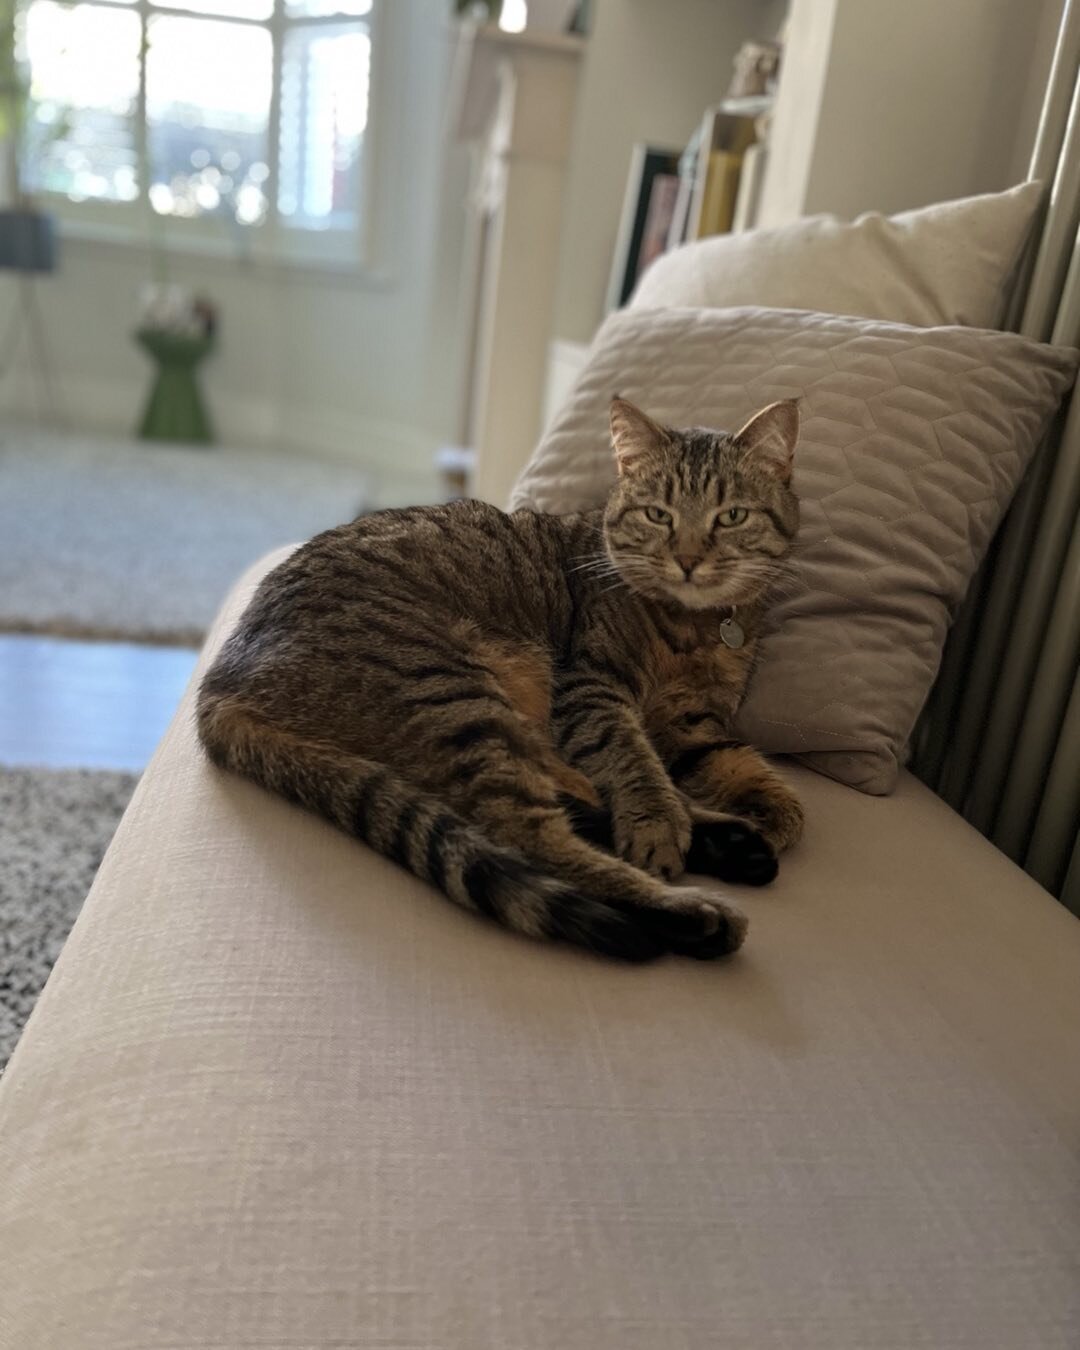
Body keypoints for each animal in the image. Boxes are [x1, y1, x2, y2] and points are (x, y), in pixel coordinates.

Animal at [198, 394, 799, 966]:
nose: (689, 559)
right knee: (528, 833)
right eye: (658, 515)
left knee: (572, 798)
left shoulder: (691, 719)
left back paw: (731, 845)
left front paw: (767, 811)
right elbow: (632, 761)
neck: (693, 628)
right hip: (453, 696)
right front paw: (655, 822)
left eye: (731, 516)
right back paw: (690, 909)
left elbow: (746, 772)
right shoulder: (590, 690)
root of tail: (222, 683)